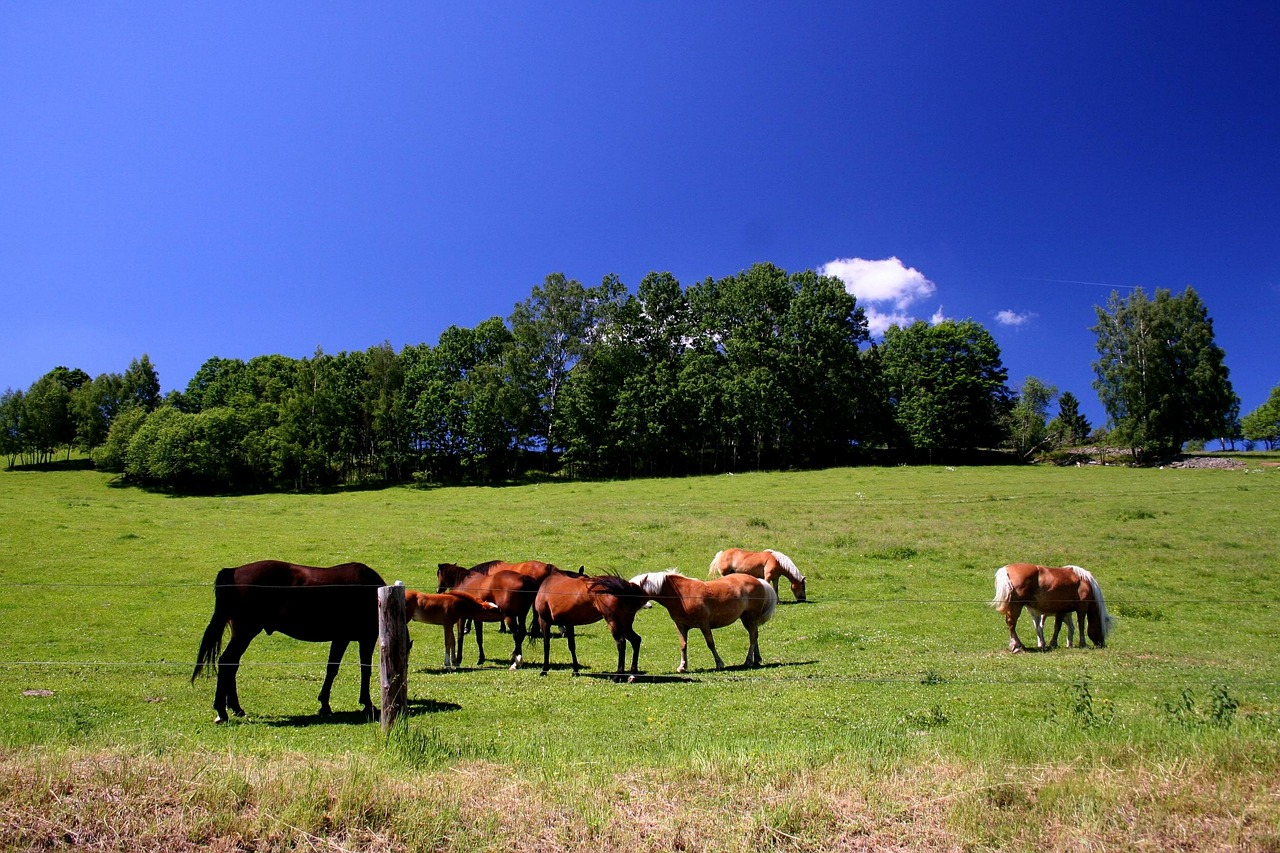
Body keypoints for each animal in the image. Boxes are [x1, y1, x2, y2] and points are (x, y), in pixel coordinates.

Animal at [190, 560, 384, 722]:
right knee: (226, 662)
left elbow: (332, 669)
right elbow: (365, 670)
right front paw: (367, 704)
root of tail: (233, 571)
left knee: (231, 664)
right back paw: (221, 711)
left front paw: (324, 704)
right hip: (245, 633)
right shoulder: (366, 638)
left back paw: (236, 708)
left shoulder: (341, 638)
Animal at [632, 571, 778, 671]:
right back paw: (756, 659)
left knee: (753, 637)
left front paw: (719, 663)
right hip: (746, 619)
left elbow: (710, 644)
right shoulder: (680, 626)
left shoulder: (704, 624)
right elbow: (683, 645)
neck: (682, 595)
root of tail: (758, 581)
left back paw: (748, 661)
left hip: (751, 617)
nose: (648, 606)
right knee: (754, 636)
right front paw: (682, 666)